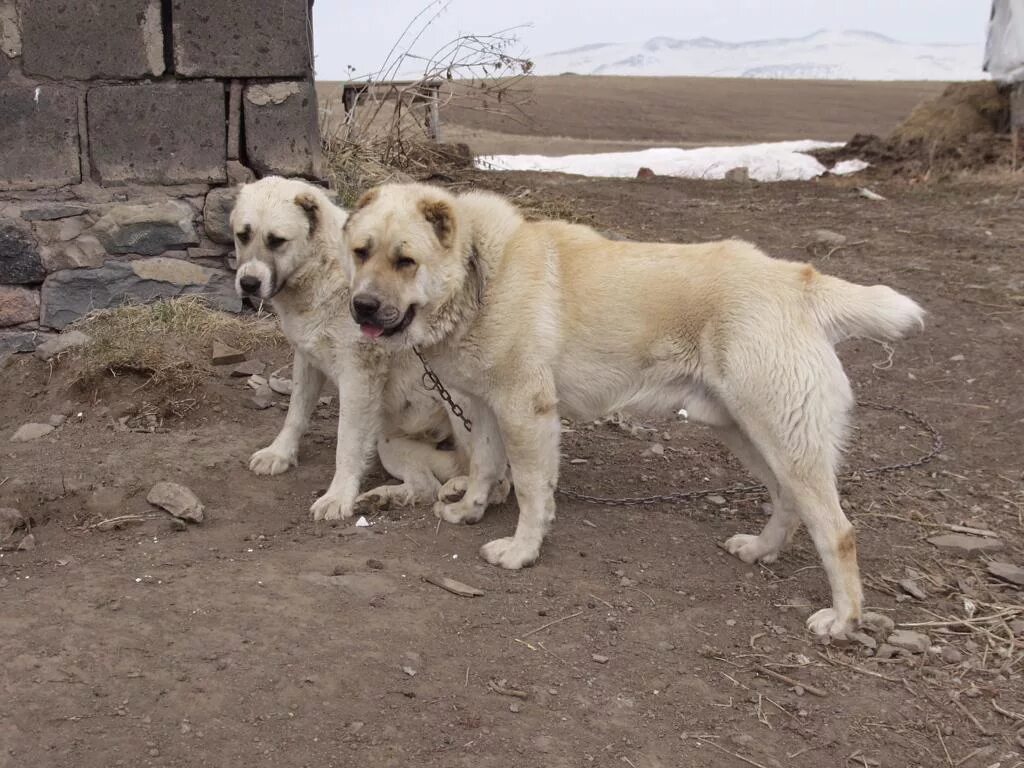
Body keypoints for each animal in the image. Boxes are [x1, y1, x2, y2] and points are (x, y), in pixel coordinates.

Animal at [342, 183, 929, 638]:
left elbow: (531, 491)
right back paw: (761, 549)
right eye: (360, 252)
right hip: (745, 432)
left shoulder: (525, 413)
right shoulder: (484, 409)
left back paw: (844, 620)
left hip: (783, 439)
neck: (478, 271)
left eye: (405, 261)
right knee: (786, 499)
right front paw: (470, 510)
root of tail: (798, 280)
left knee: (838, 531)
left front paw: (522, 551)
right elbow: (486, 467)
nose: (361, 307)